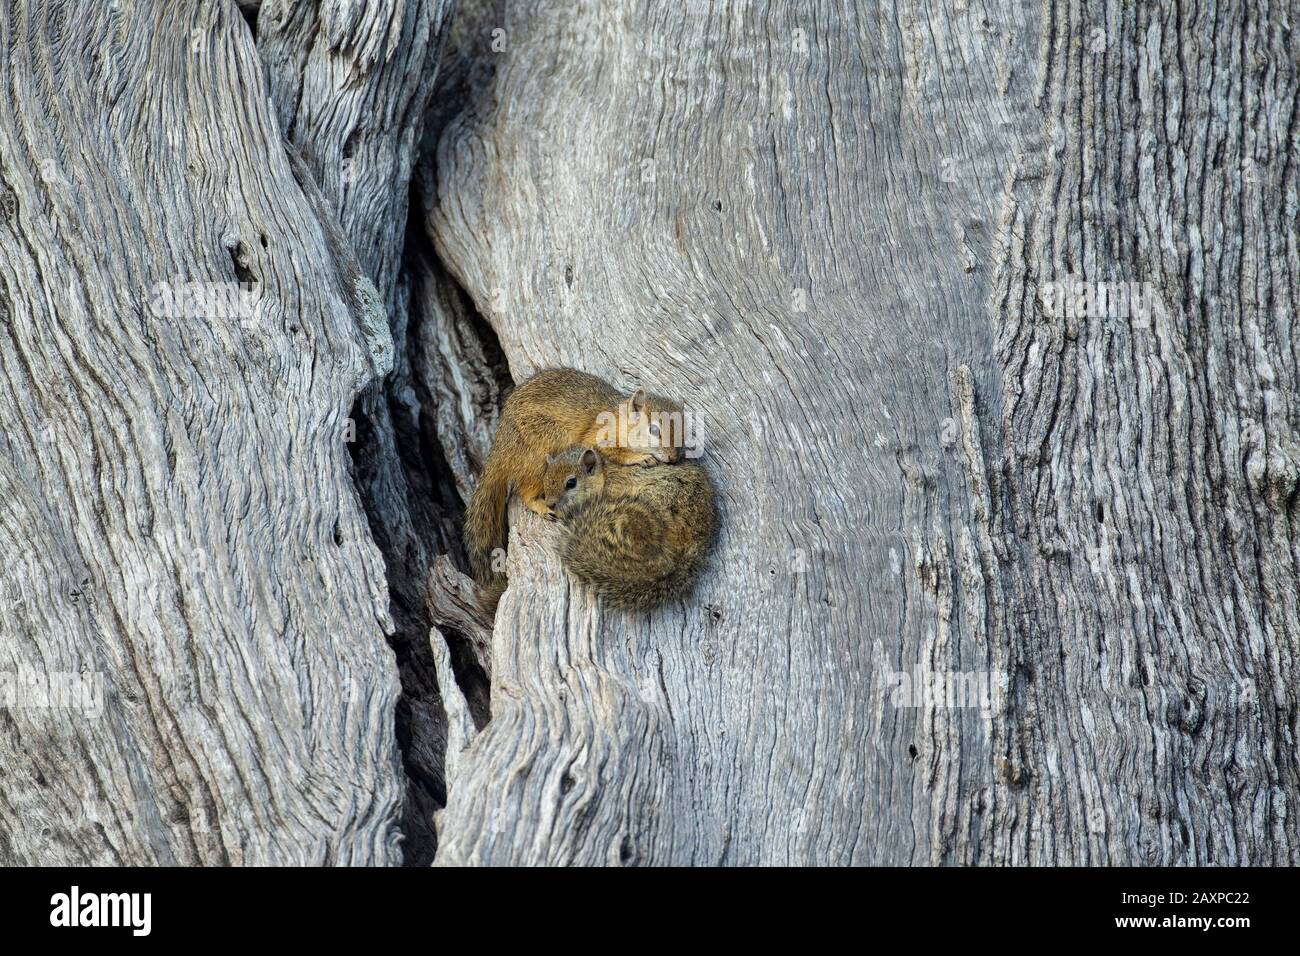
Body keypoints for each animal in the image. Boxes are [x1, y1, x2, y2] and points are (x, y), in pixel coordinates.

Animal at [464, 368, 686, 607]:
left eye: (684, 432)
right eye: (654, 429)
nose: (673, 457)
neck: (619, 419)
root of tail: (500, 451)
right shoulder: (597, 437)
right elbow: (613, 452)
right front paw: (640, 457)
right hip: (545, 444)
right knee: (525, 492)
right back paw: (543, 506)